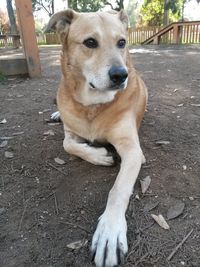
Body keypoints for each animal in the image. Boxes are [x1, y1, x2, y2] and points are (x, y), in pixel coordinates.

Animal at [46, 8, 148, 267]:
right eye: (90, 42)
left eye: (121, 42)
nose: (120, 75)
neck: (93, 104)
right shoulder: (71, 134)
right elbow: (68, 144)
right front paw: (100, 156)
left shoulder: (133, 150)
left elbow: (118, 190)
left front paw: (109, 232)